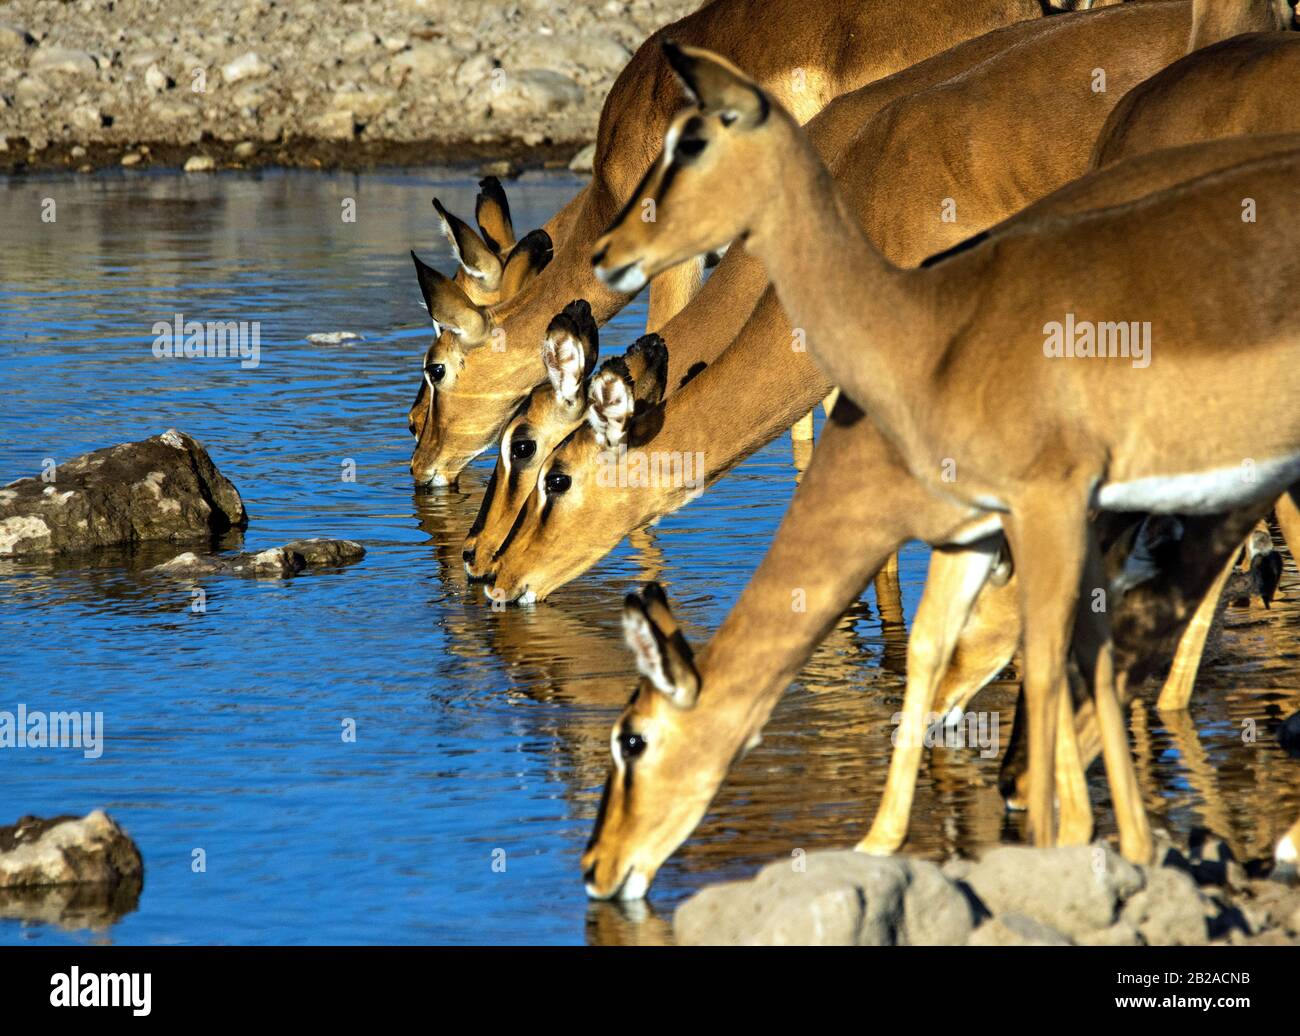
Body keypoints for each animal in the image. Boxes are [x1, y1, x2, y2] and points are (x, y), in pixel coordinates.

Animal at [588, 45, 1300, 883]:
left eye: (633, 739)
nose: (596, 866)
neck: (925, 339)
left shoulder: (1048, 510)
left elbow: (1050, 655)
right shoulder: (986, 530)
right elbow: (945, 648)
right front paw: (883, 844)